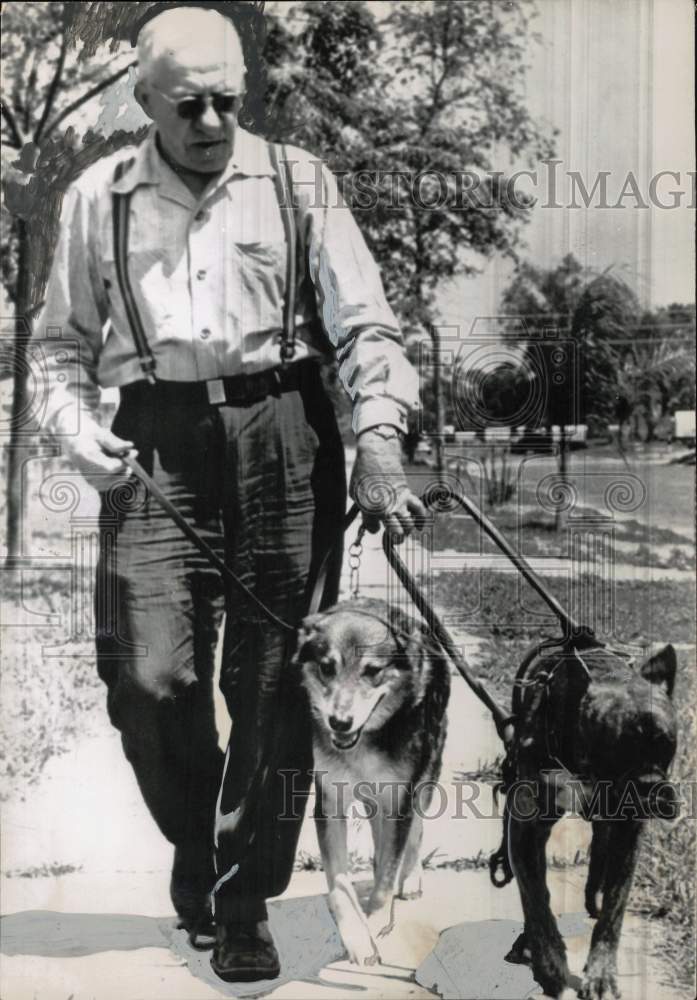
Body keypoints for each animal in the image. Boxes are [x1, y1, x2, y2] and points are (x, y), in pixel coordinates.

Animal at [490, 640, 676, 1000]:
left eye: (668, 747)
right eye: (616, 752)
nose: (649, 787)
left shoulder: (627, 835)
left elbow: (614, 911)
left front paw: (602, 973)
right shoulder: (526, 832)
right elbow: (537, 901)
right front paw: (550, 964)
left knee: (600, 860)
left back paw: (593, 898)